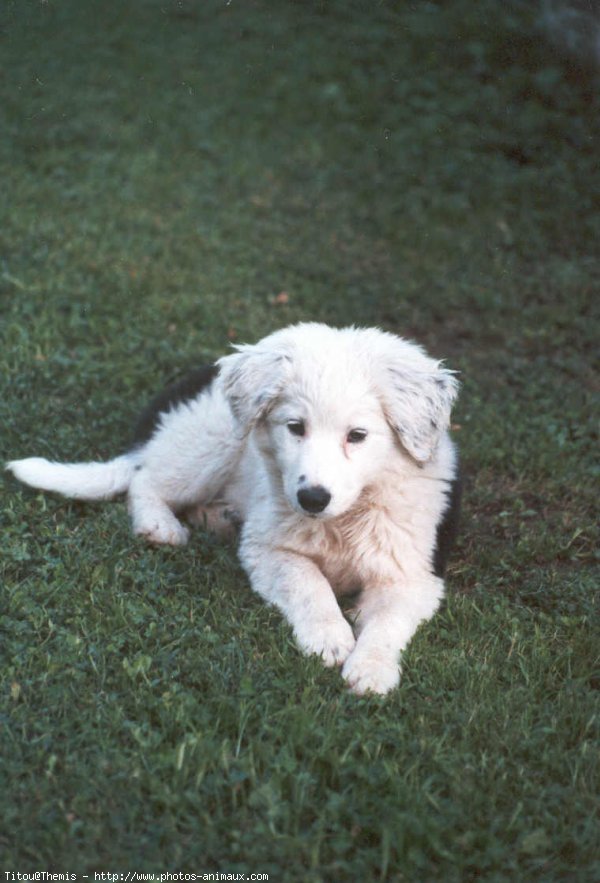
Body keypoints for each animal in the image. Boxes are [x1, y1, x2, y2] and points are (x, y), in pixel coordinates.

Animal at [7, 322, 462, 696]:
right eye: (295, 427)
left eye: (358, 435)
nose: (312, 498)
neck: (343, 519)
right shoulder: (268, 548)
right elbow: (309, 583)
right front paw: (329, 639)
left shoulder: (413, 574)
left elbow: (388, 622)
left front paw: (371, 669)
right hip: (213, 440)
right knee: (144, 479)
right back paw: (160, 525)